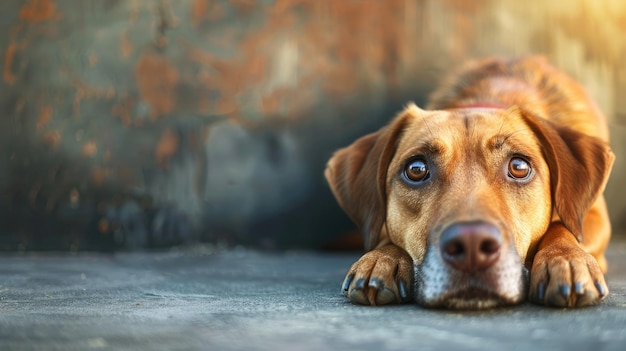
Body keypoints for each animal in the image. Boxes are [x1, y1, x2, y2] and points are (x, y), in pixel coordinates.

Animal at [324, 56, 612, 310]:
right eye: (416, 170)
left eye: (519, 167)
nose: (472, 245)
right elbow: (386, 236)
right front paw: (382, 258)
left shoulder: (596, 218)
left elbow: (562, 226)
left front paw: (565, 258)